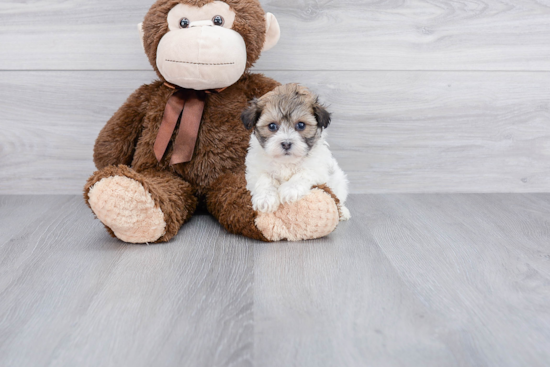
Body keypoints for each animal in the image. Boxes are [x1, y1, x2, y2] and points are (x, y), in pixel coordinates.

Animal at [243, 83, 354, 221]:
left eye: (301, 125)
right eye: (272, 126)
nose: (286, 143)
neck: (286, 162)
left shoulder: (318, 168)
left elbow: (304, 173)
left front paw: (290, 190)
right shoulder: (255, 170)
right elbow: (264, 178)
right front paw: (265, 199)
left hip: (339, 180)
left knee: (338, 197)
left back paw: (343, 211)